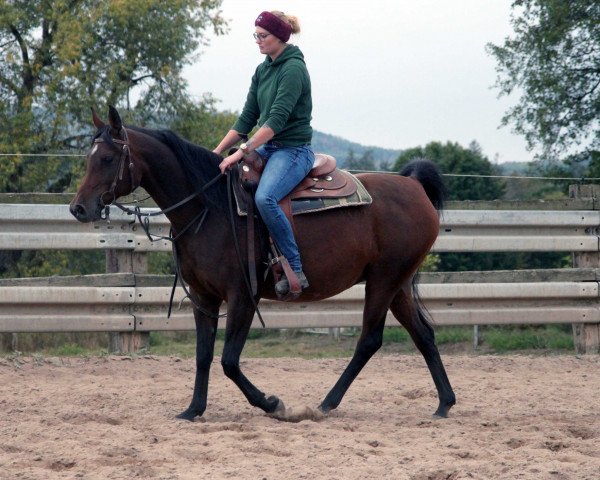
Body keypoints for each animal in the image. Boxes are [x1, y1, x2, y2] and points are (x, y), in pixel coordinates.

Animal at [70, 107, 454, 422]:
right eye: (89, 157)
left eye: (107, 158)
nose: (78, 208)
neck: (209, 208)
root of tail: (413, 186)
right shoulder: (203, 297)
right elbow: (203, 354)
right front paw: (193, 410)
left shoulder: (242, 295)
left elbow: (228, 360)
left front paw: (272, 404)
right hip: (396, 283)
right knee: (423, 334)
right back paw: (444, 403)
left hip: (383, 280)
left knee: (369, 340)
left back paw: (325, 404)